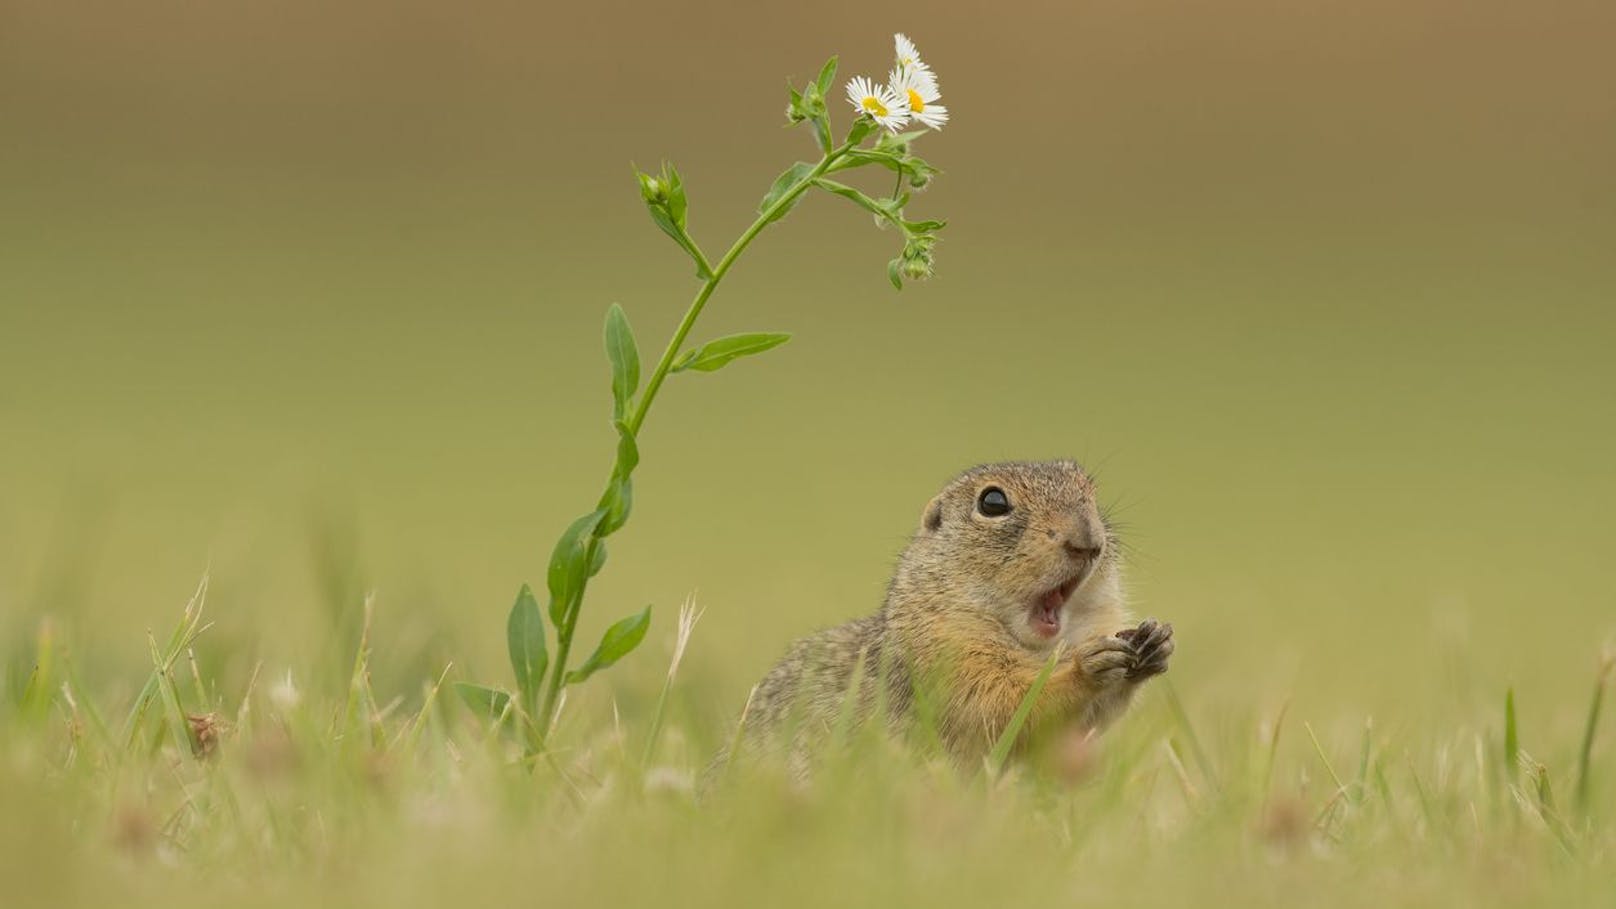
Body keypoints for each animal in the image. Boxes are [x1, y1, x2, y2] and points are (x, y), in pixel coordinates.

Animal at [727, 459, 1169, 769]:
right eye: (992, 502)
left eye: (1091, 492)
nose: (1087, 539)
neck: (1042, 646)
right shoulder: (944, 656)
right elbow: (1003, 705)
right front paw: (1087, 666)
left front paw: (1156, 644)